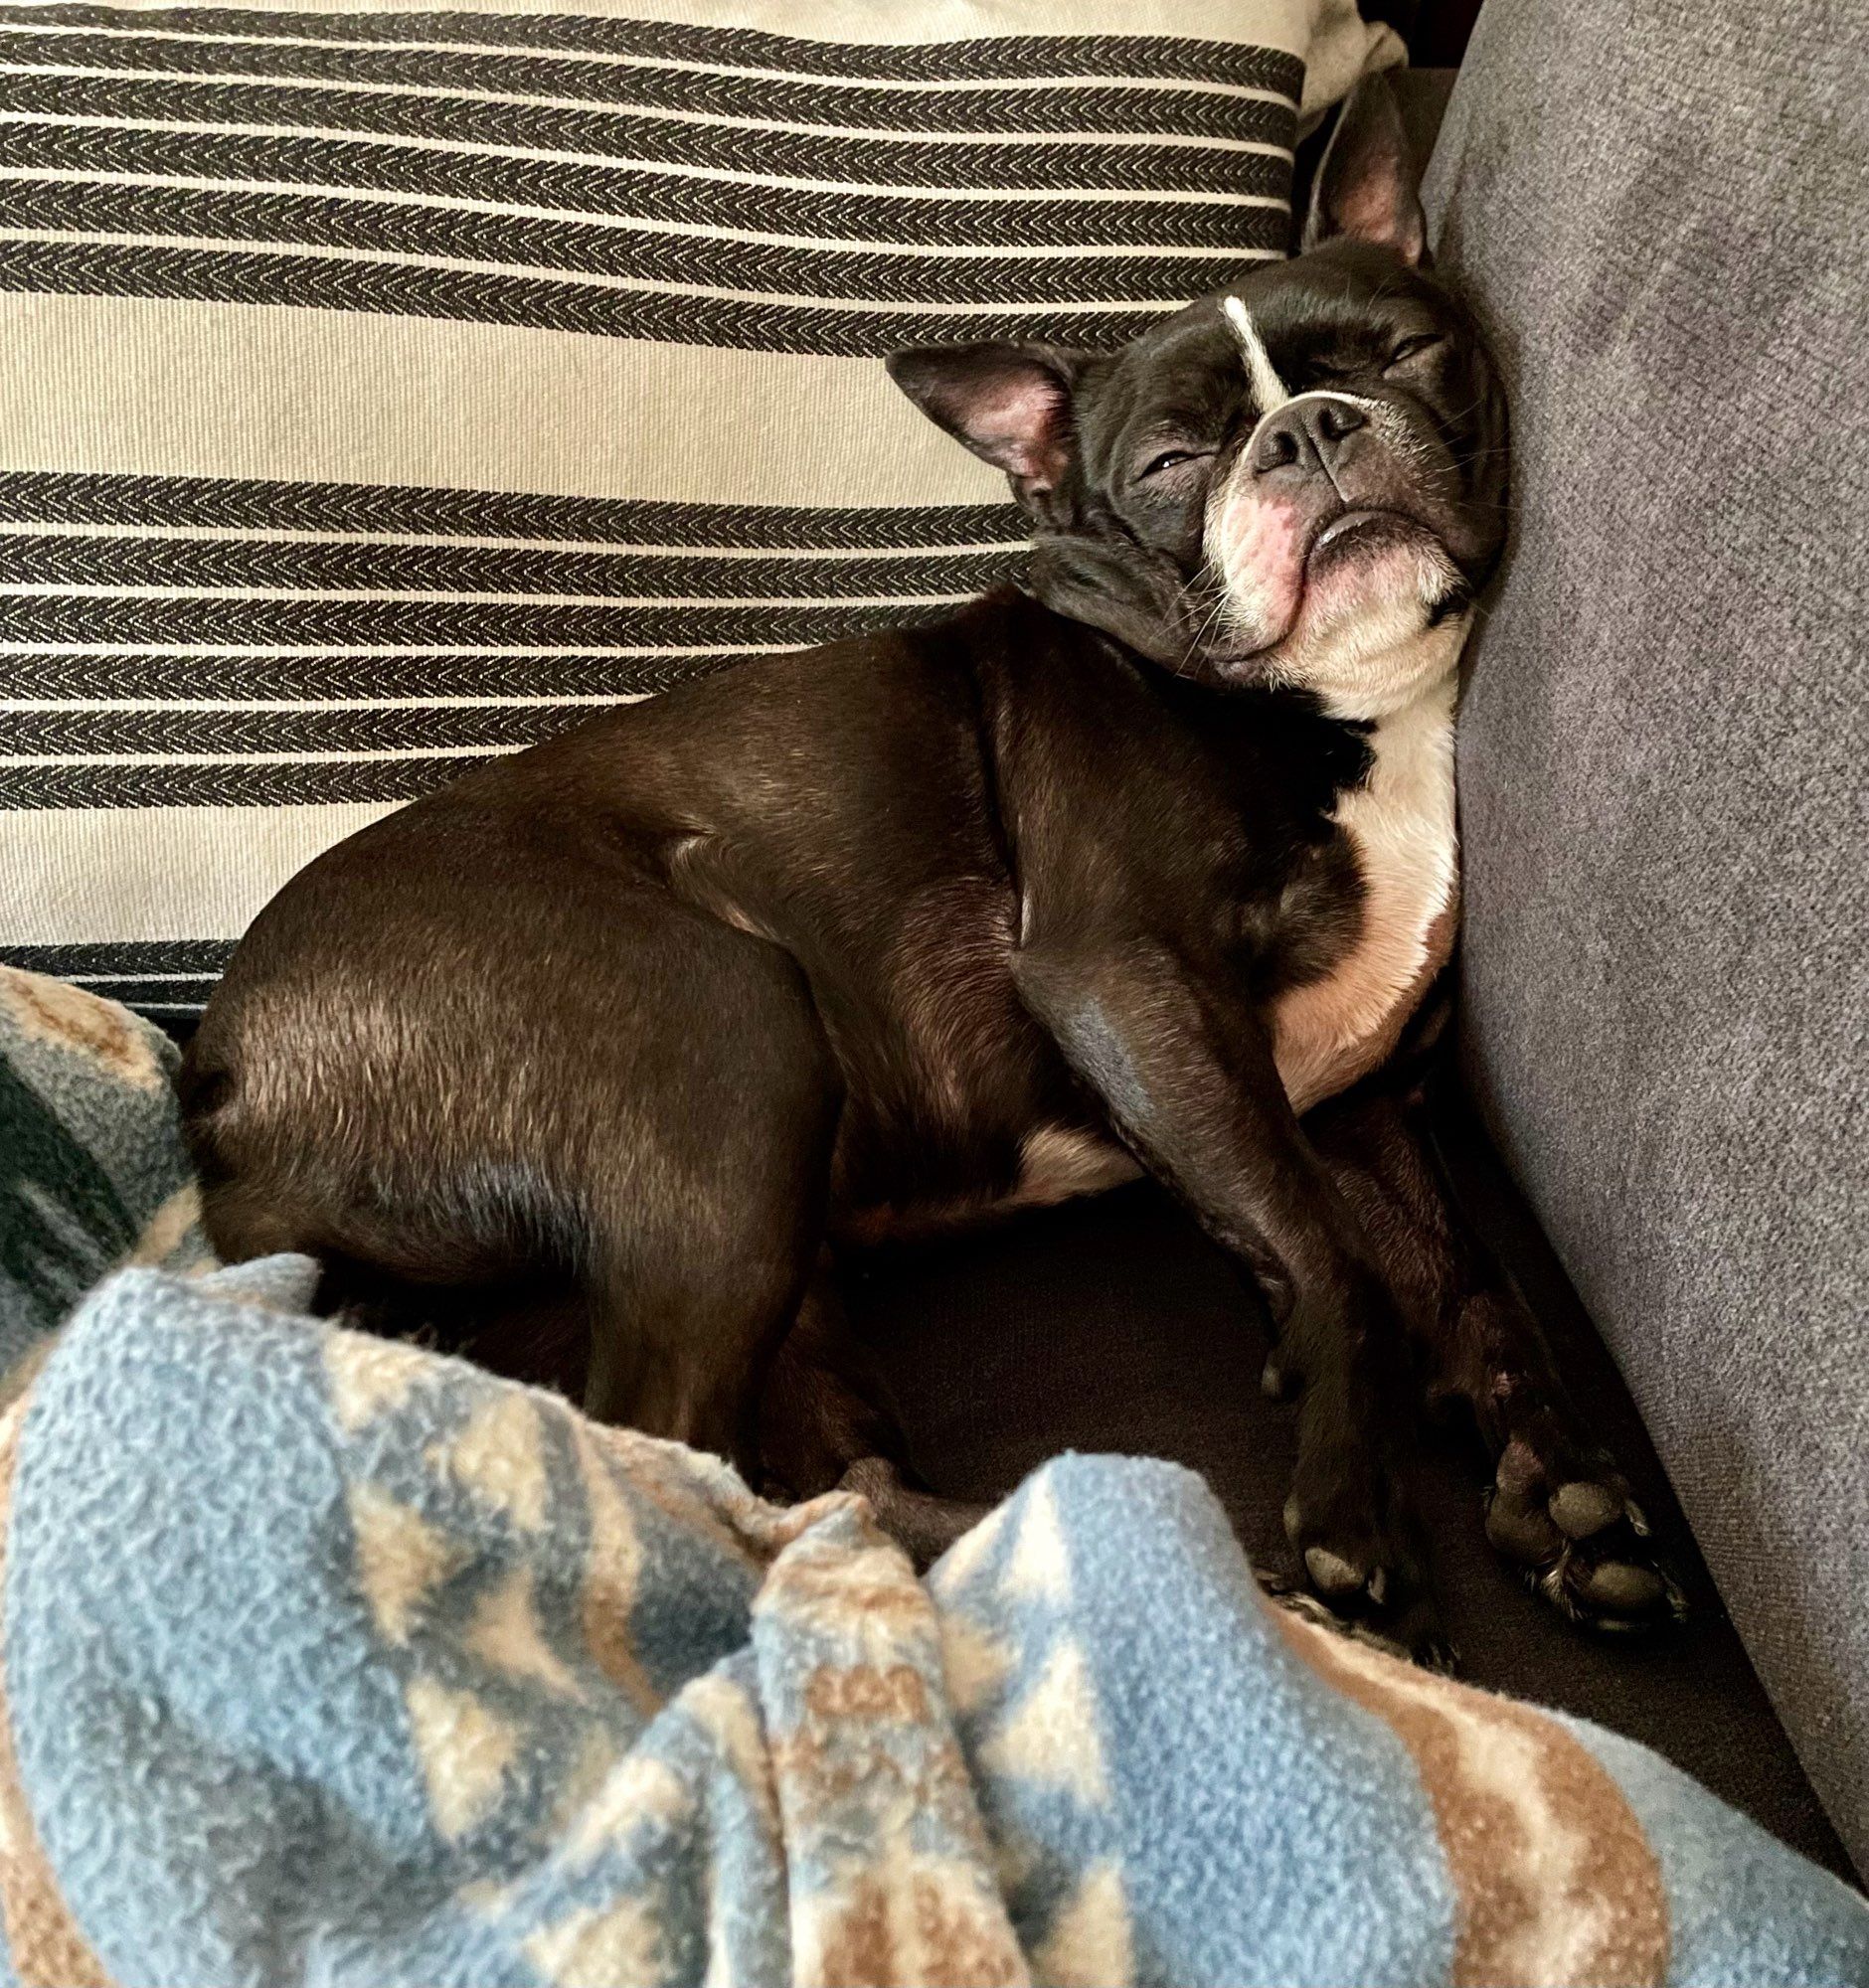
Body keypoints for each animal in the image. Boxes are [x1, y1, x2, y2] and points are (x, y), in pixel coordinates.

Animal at [186, 82, 1678, 1646]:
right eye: (1171, 465)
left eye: (1402, 354)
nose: (1311, 429)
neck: (1324, 713)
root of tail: (220, 1069)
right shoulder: (1121, 975)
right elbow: (1329, 1248)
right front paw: (1353, 1513)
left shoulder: (1362, 1101)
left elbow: (1465, 1275)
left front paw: (1565, 1484)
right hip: (726, 1034)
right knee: (669, 1448)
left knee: (813, 1483)